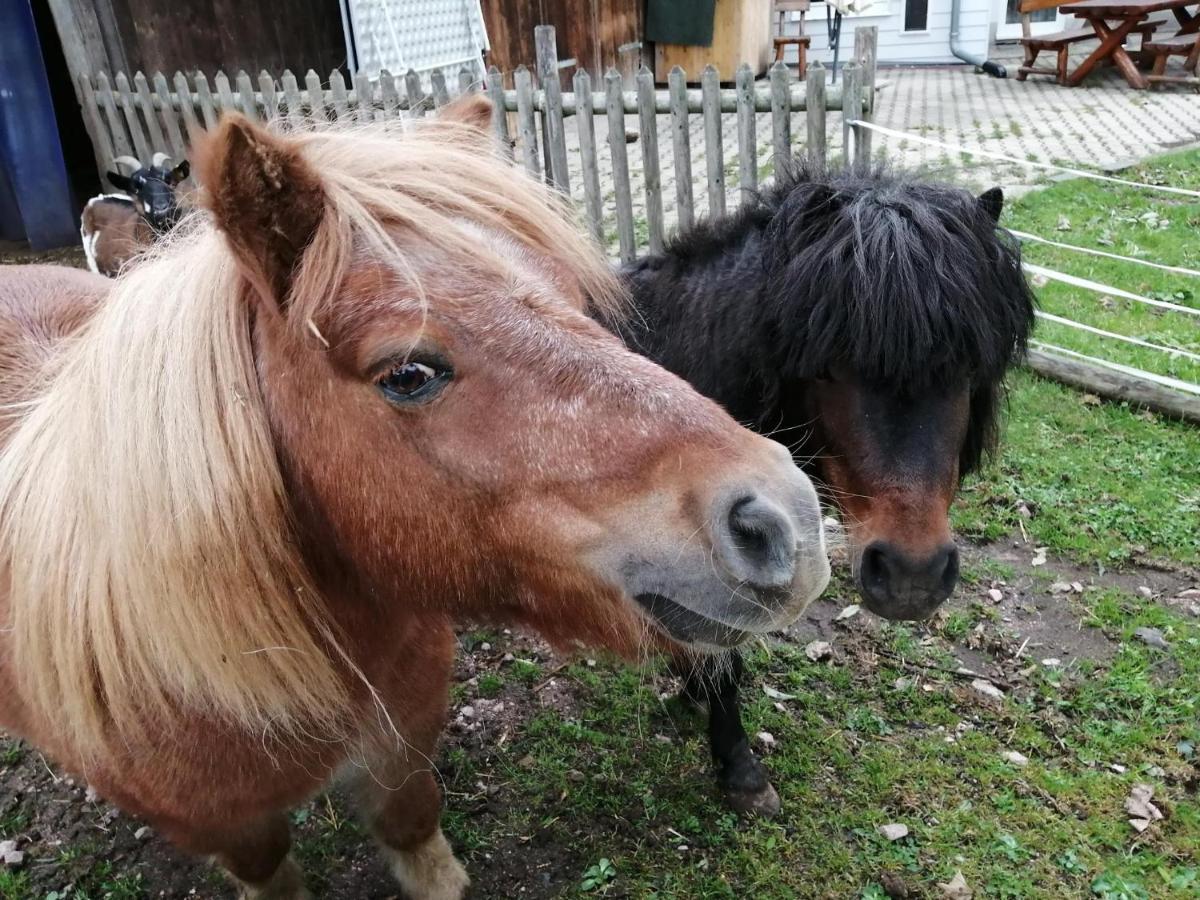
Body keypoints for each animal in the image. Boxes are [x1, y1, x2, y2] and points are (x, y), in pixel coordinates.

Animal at [0, 95, 830, 897]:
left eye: (579, 306)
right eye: (407, 374)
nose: (784, 521)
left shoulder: (402, 748)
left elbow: (416, 836)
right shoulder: (233, 829)